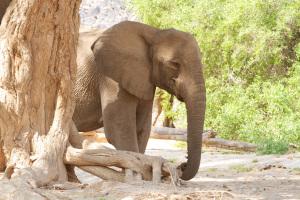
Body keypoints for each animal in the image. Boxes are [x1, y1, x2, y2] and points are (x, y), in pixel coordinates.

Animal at [74, 21, 206, 180]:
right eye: (174, 64)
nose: (182, 165)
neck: (154, 33)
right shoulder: (110, 76)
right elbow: (119, 129)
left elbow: (142, 128)